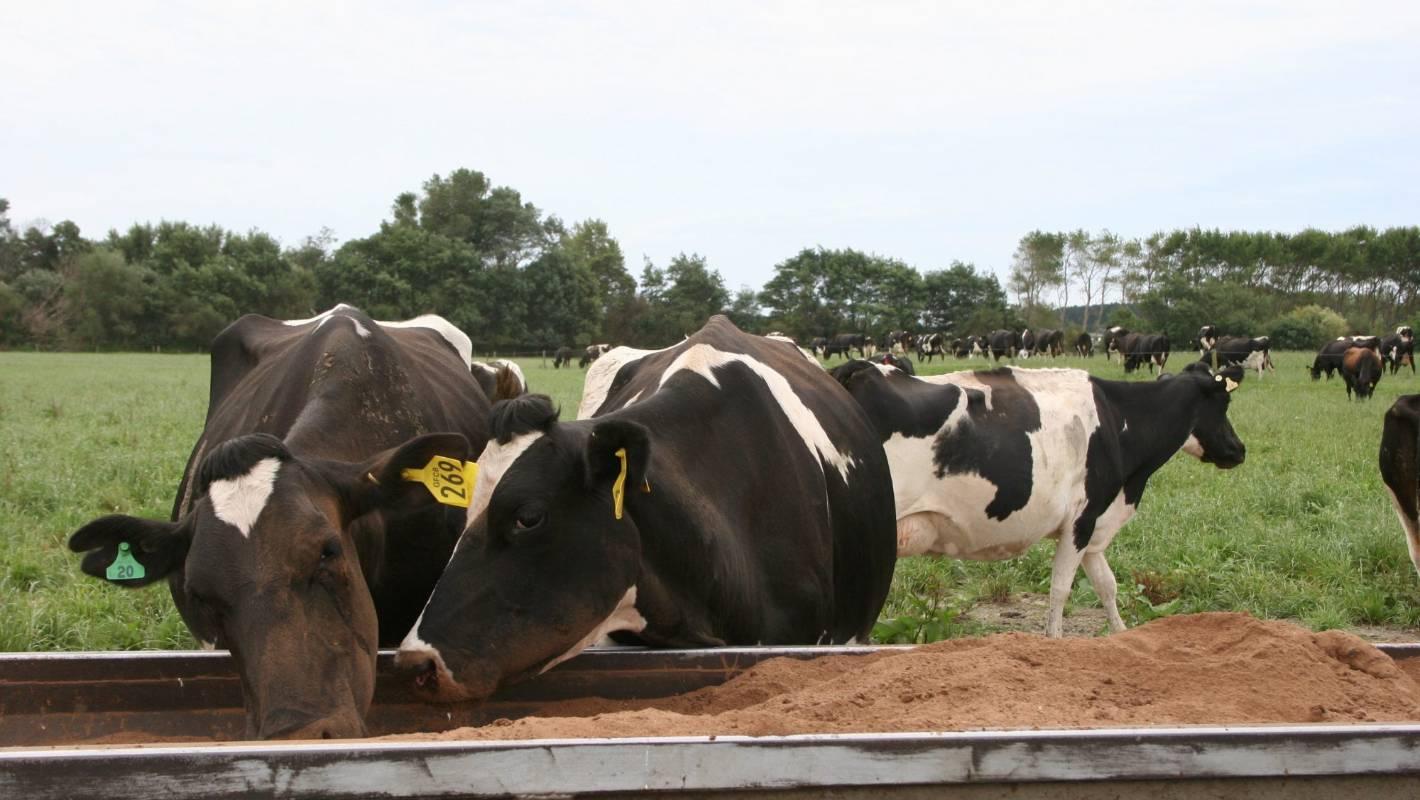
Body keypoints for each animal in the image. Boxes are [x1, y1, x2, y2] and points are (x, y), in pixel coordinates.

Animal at [829, 358, 1243, 639]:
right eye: (1223, 404)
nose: (1239, 450)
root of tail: (858, 370)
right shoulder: (1082, 518)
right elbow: (1060, 589)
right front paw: (1055, 641)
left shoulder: (1096, 525)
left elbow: (1106, 584)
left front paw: (1122, 635)